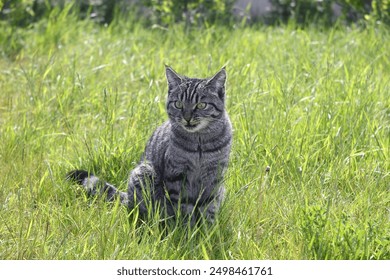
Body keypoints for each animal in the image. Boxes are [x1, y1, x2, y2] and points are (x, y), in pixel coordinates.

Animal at [67, 66, 232, 225]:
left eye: (201, 105)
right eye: (178, 104)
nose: (187, 118)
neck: (199, 144)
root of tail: (128, 197)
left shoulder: (214, 176)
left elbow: (209, 207)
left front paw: (207, 230)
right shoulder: (177, 175)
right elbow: (184, 208)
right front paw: (187, 229)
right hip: (144, 174)